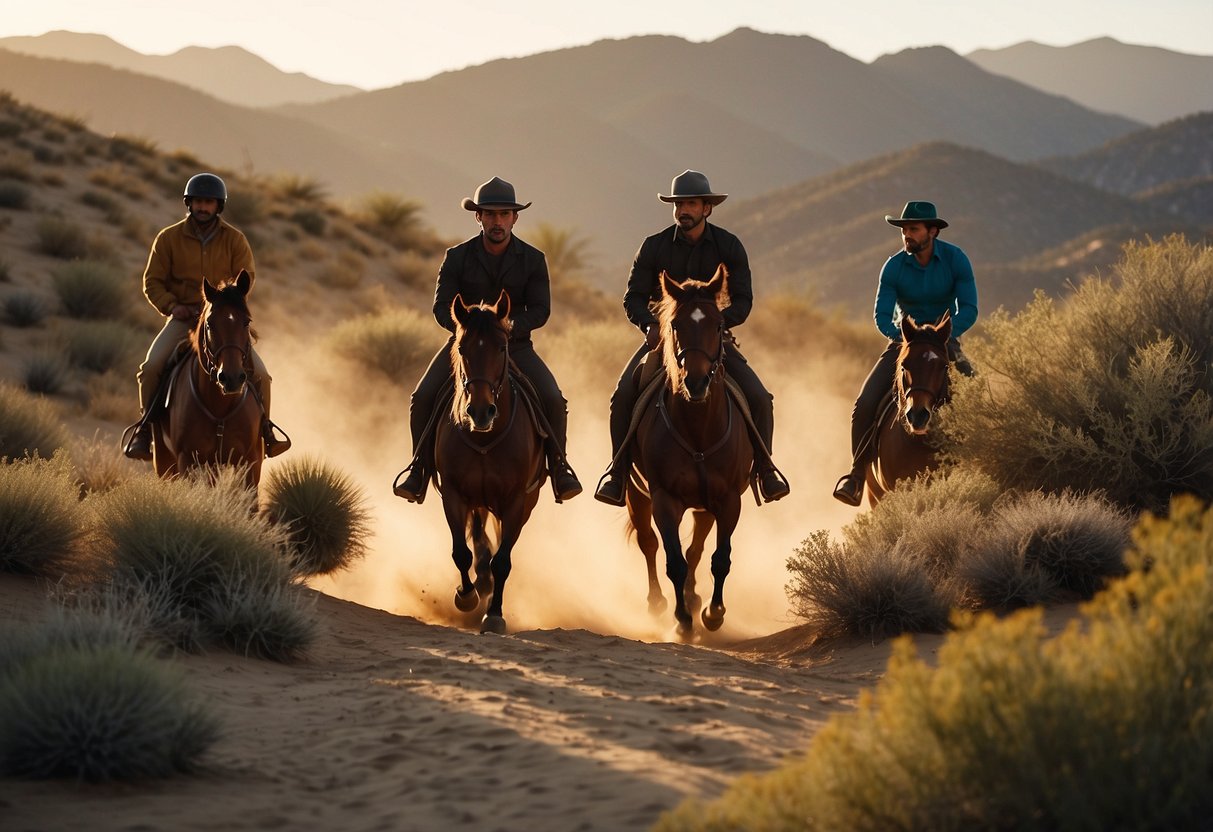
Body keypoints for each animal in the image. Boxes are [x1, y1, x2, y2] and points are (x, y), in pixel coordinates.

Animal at [151, 270, 263, 489]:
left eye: (247, 322)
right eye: (210, 324)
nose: (231, 378)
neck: (219, 407)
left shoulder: (251, 461)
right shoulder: (187, 460)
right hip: (165, 461)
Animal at [436, 289, 545, 635]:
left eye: (502, 347)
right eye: (461, 347)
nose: (481, 412)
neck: (486, 438)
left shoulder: (516, 501)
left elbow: (503, 561)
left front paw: (494, 614)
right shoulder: (454, 494)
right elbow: (461, 551)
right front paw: (466, 596)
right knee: (478, 535)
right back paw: (480, 582)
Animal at [625, 266, 747, 640]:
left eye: (719, 325)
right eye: (676, 325)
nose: (695, 382)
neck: (698, 431)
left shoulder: (729, 500)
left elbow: (718, 558)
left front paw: (713, 613)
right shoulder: (665, 499)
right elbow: (673, 561)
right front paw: (682, 621)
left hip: (705, 506)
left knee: (697, 549)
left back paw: (695, 599)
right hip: (636, 494)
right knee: (649, 543)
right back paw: (658, 603)